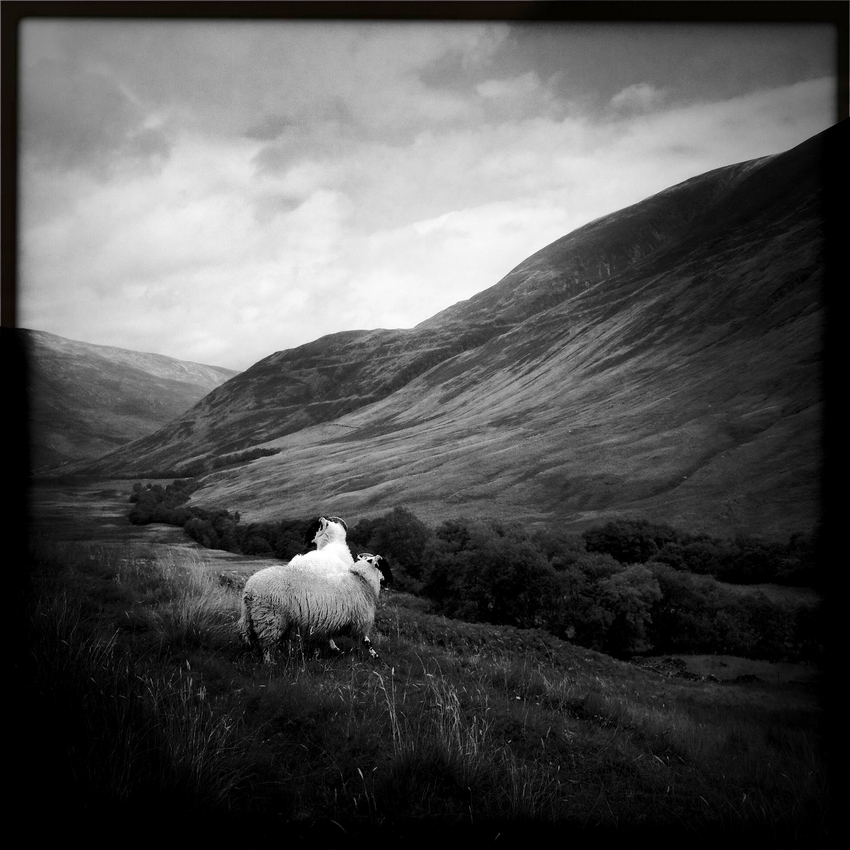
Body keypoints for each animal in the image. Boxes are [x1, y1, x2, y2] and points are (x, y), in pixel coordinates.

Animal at [237, 548, 392, 660]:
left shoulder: (329, 620)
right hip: (271, 618)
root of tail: (250, 588)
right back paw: (269, 662)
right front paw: (375, 656)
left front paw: (328, 651)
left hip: (253, 616)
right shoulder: (360, 620)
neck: (360, 581)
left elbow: (326, 638)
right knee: (266, 644)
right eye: (384, 566)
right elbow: (366, 641)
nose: (390, 581)